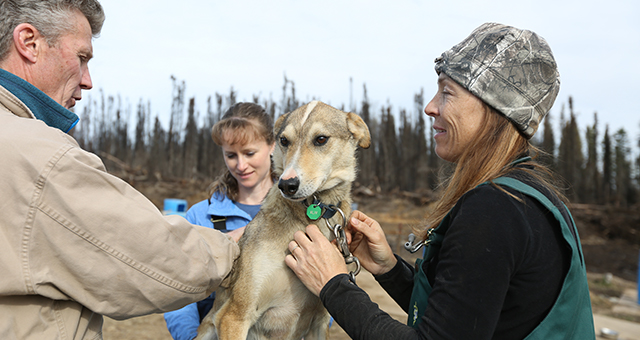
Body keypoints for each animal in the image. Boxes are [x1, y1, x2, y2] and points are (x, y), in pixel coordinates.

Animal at [195, 99, 372, 338]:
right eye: (284, 141)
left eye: (321, 139)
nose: (286, 185)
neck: (311, 213)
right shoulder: (234, 315)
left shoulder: (320, 320)